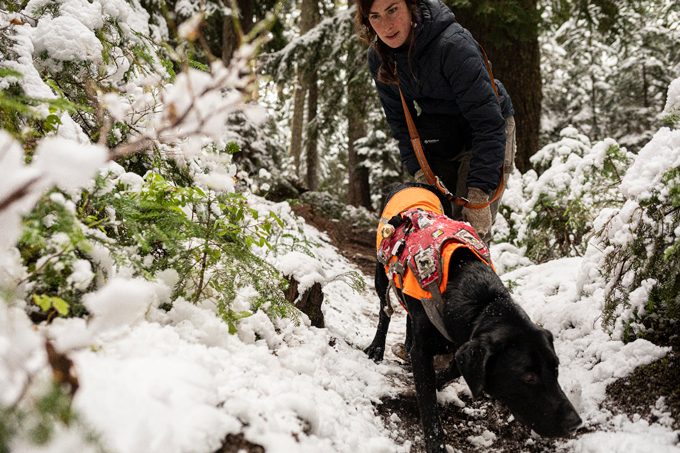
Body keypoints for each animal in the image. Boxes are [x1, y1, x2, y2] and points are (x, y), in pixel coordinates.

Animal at [364, 182, 580, 450]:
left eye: (555, 367)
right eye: (527, 376)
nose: (575, 423)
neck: (482, 301)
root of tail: (409, 184)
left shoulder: (463, 342)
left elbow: (452, 371)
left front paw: (433, 382)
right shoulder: (425, 351)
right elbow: (429, 409)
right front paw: (436, 444)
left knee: (406, 314)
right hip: (381, 272)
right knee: (384, 310)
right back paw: (377, 347)